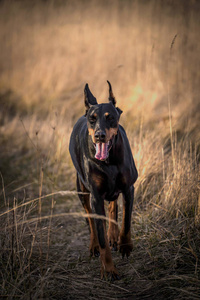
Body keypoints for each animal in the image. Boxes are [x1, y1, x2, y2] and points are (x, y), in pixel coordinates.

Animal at [69, 80, 138, 278]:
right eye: (92, 119)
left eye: (110, 117)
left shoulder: (129, 188)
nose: (99, 135)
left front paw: (125, 245)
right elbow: (100, 236)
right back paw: (93, 245)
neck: (109, 161)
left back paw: (113, 236)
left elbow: (126, 221)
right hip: (81, 189)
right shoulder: (96, 197)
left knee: (113, 206)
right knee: (91, 220)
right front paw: (108, 269)